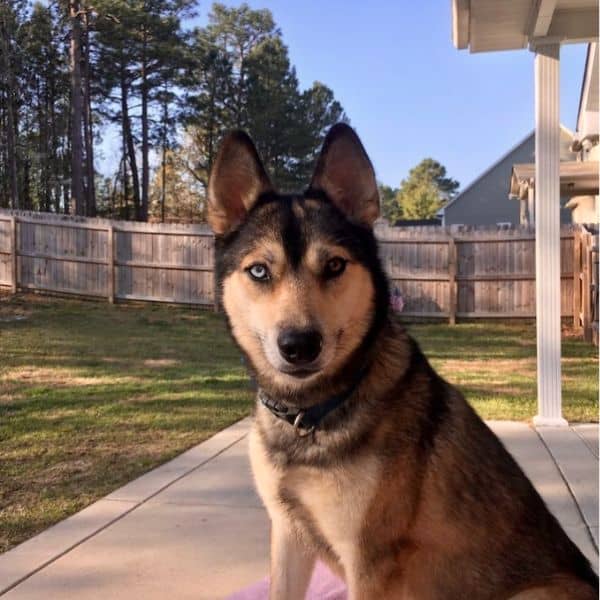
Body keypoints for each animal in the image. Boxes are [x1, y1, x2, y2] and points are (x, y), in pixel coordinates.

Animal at [205, 125, 596, 600]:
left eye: (334, 265)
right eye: (259, 271)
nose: (299, 345)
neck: (311, 413)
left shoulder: (369, 562)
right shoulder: (288, 535)